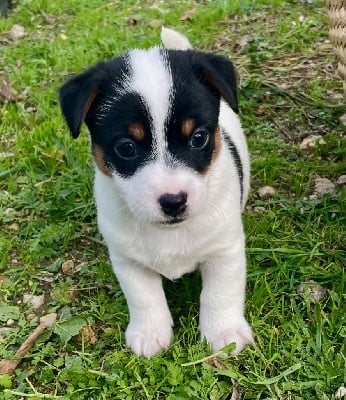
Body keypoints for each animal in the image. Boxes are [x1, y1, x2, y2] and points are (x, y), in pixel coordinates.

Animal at [58, 28, 254, 360]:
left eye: (198, 138)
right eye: (126, 147)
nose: (173, 201)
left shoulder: (224, 250)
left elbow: (220, 293)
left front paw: (223, 333)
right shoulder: (127, 260)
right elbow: (143, 297)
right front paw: (149, 333)